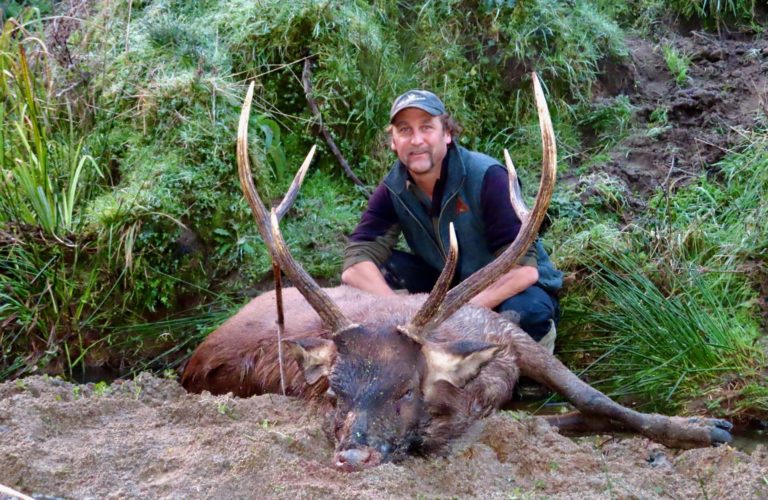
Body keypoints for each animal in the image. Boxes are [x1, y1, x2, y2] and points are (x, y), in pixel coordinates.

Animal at [181, 74, 733, 471]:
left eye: (405, 390)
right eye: (334, 393)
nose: (353, 455)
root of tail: (193, 356)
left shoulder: (510, 335)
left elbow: (598, 399)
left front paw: (706, 427)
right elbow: (551, 419)